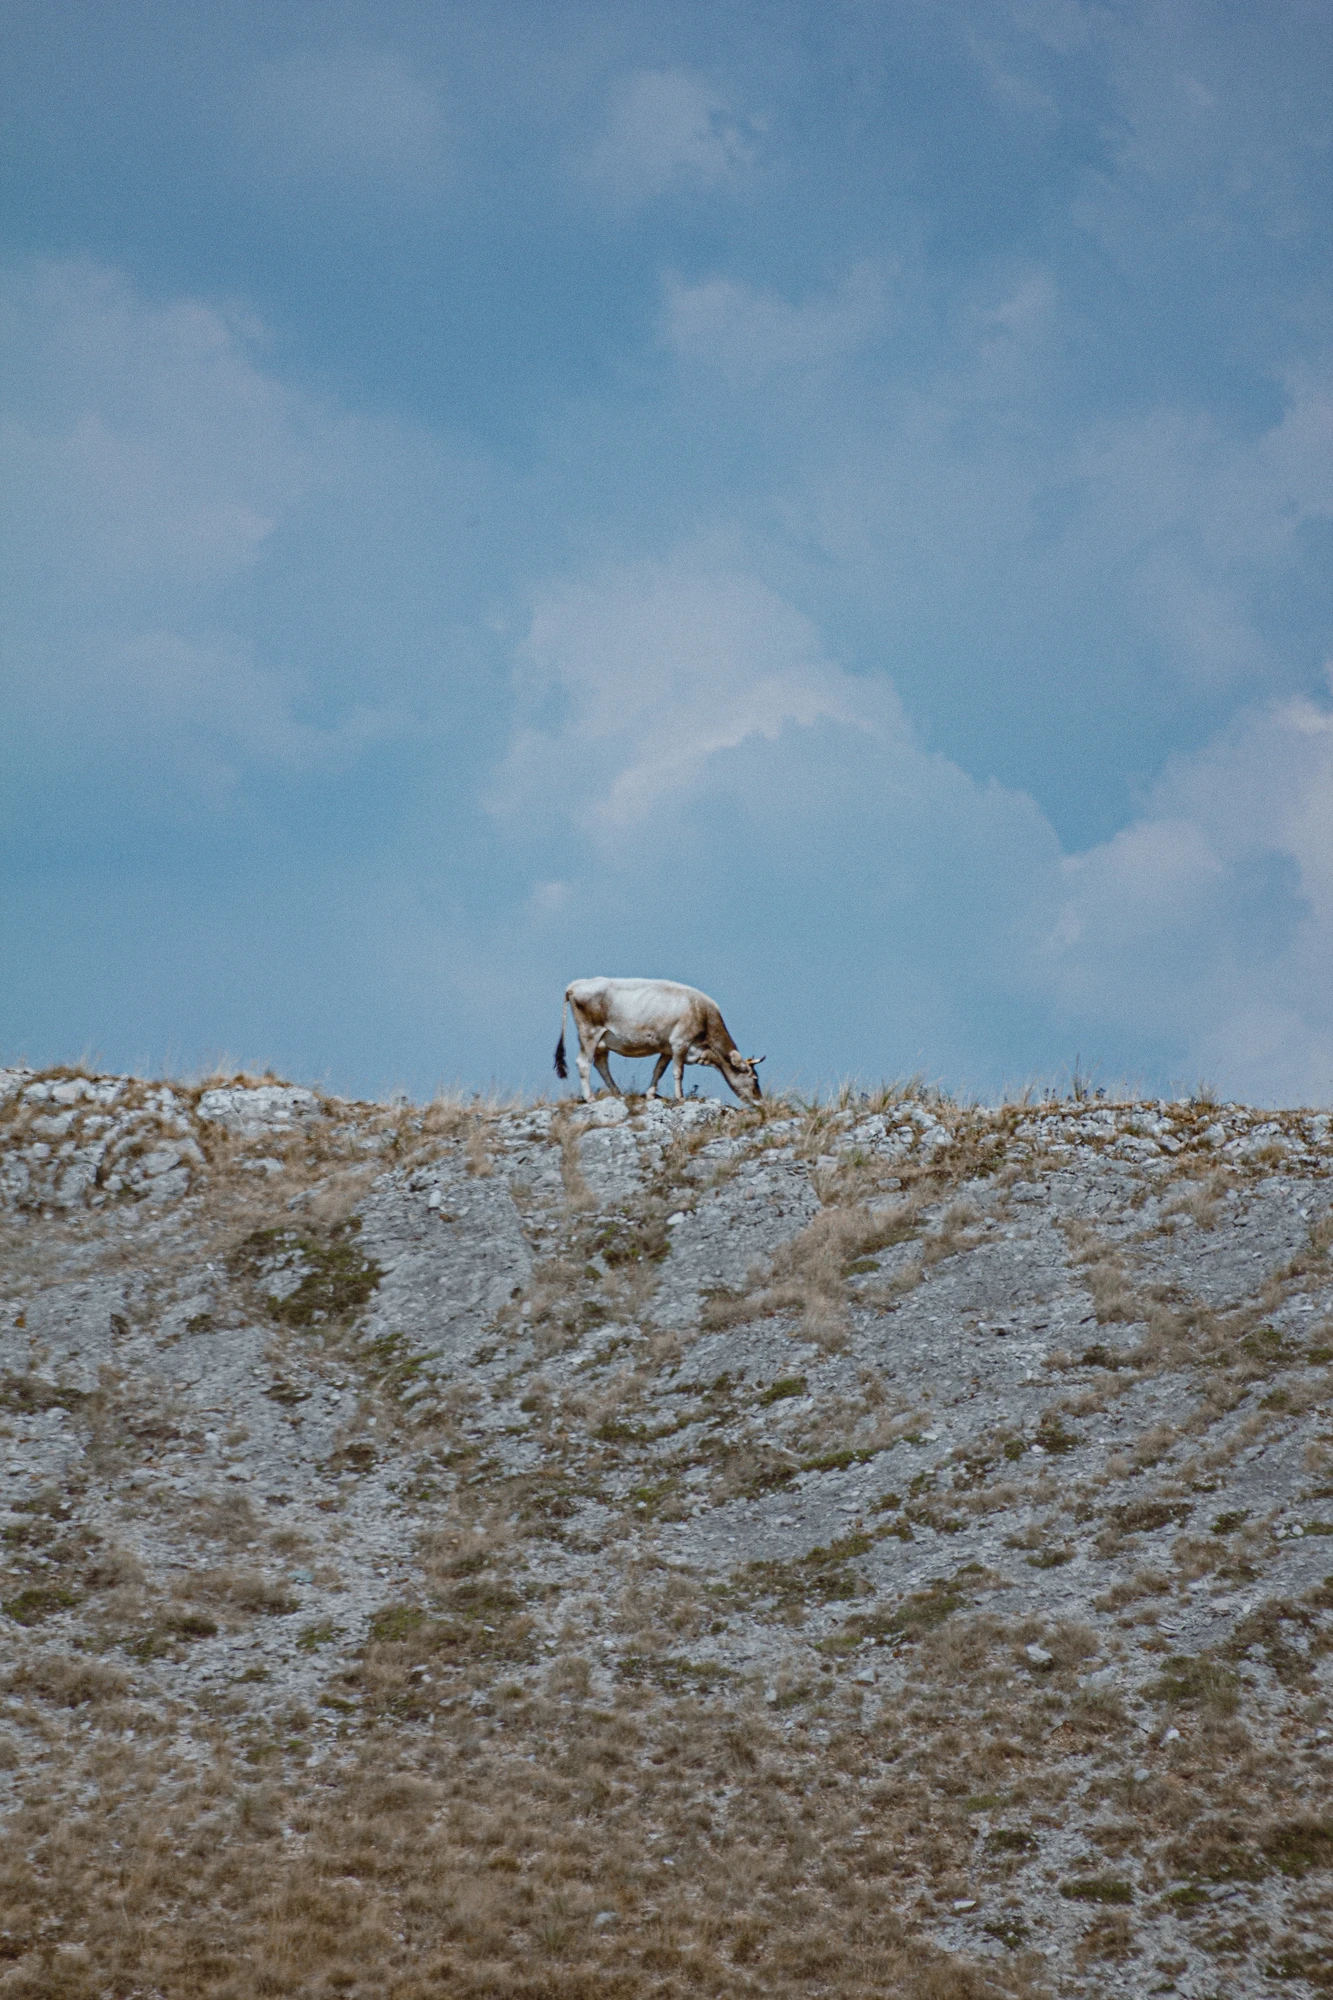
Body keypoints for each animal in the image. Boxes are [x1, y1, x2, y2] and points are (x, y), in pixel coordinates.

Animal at [554, 978, 763, 1104]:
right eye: (754, 1078)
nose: (760, 1100)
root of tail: (575, 985)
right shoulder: (680, 1043)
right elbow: (678, 1072)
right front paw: (680, 1098)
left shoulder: (667, 1049)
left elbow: (659, 1070)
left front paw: (650, 1094)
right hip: (589, 1033)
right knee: (583, 1062)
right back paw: (590, 1098)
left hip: (602, 1041)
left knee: (601, 1065)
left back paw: (618, 1093)